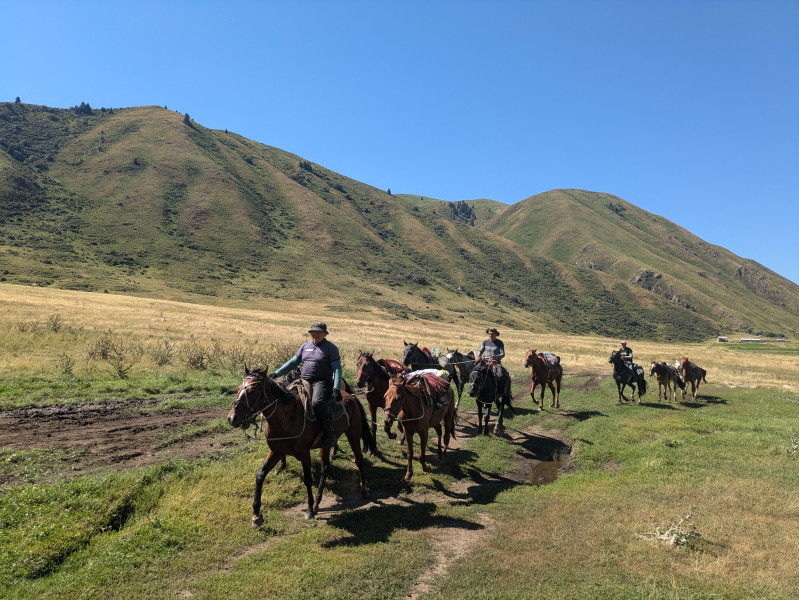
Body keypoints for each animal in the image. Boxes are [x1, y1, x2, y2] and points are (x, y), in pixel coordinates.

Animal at [225, 366, 376, 524]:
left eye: (252, 390)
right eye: (238, 388)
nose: (232, 418)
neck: (286, 419)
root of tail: (352, 396)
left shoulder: (304, 453)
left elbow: (308, 480)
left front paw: (309, 510)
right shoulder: (276, 451)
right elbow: (260, 475)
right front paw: (256, 514)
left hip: (353, 435)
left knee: (358, 460)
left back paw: (364, 490)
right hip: (325, 445)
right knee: (325, 468)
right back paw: (317, 502)